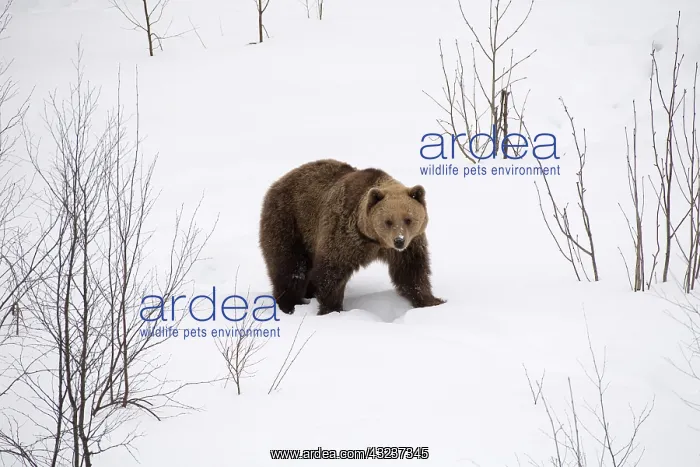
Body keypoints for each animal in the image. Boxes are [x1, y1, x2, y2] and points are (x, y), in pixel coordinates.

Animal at [258, 158, 445, 316]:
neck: (374, 239)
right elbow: (331, 271)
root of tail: (279, 181)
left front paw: (432, 301)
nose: (399, 240)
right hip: (289, 221)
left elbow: (411, 271)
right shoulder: (345, 235)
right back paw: (289, 305)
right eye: (388, 221)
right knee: (289, 266)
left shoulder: (409, 244)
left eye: (408, 219)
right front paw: (332, 309)